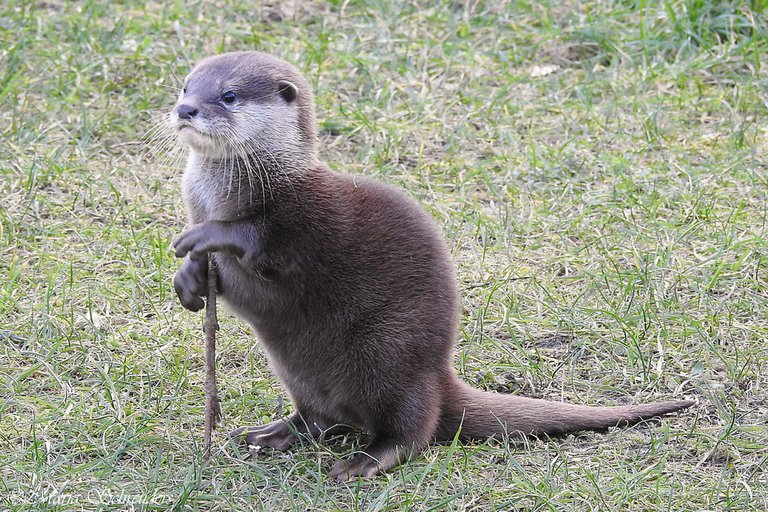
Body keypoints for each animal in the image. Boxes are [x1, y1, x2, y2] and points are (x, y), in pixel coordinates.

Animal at [170, 52, 696, 480]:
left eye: (228, 95)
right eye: (185, 86)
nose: (185, 109)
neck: (231, 190)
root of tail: (440, 379)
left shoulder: (305, 219)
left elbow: (263, 242)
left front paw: (209, 236)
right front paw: (189, 280)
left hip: (390, 354)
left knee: (411, 430)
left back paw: (365, 461)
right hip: (302, 373)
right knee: (319, 418)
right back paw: (270, 434)